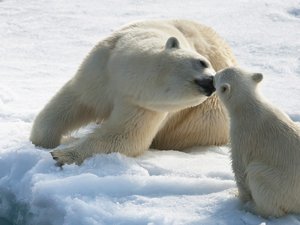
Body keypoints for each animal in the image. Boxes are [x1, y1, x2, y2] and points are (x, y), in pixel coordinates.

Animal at [31, 19, 237, 165]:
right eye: (202, 62)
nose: (211, 83)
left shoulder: (143, 106)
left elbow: (125, 136)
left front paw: (62, 154)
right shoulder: (101, 69)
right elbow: (75, 101)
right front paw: (43, 142)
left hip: (206, 119)